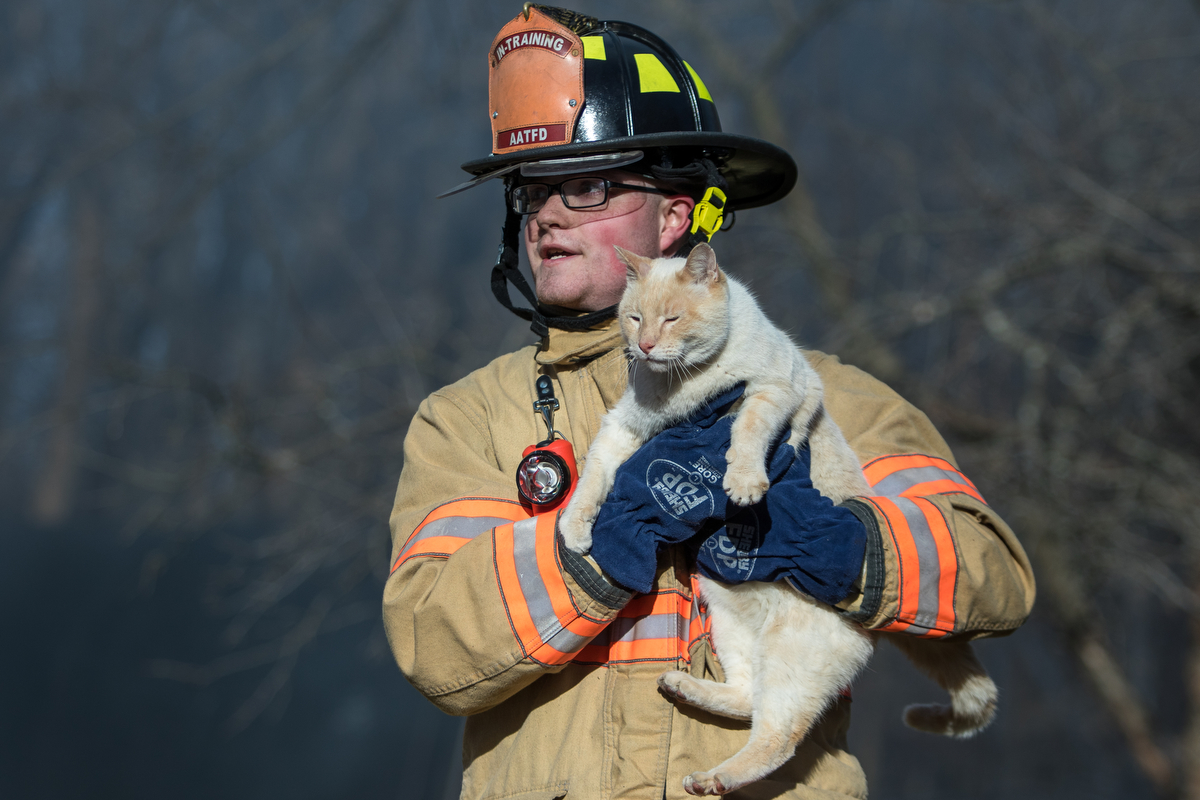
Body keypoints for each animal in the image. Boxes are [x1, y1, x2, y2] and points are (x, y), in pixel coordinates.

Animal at [556, 245, 998, 800]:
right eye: (634, 318)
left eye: (672, 318)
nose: (646, 345)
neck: (684, 390)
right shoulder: (626, 427)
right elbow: (596, 475)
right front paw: (576, 529)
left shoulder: (773, 391)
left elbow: (746, 434)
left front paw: (743, 483)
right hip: (728, 619)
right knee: (748, 699)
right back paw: (686, 696)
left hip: (791, 658)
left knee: (778, 738)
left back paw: (713, 777)